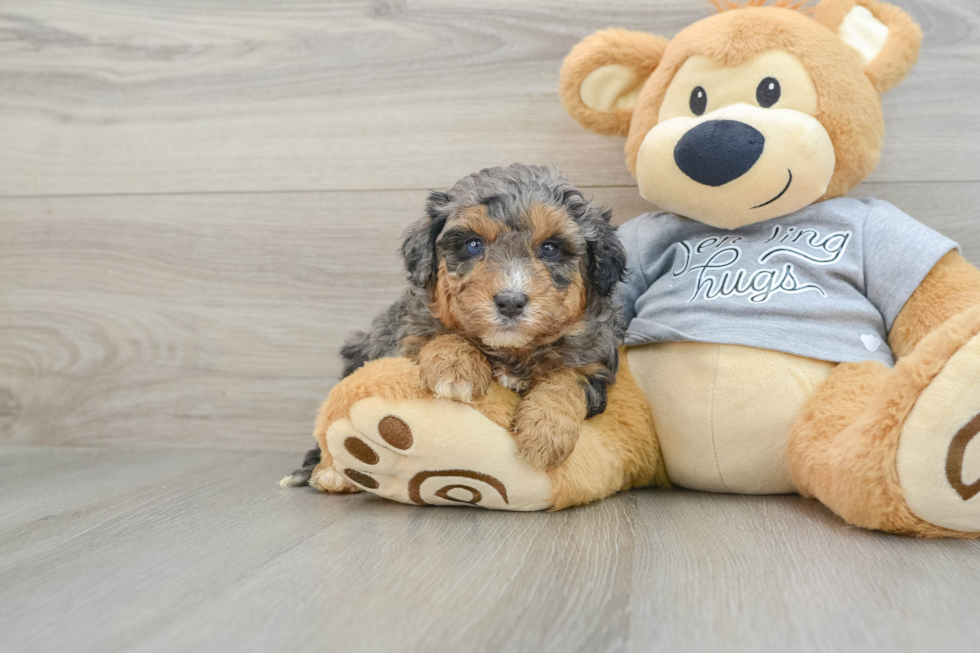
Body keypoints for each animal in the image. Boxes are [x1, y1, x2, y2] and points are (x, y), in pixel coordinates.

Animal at [282, 164, 628, 484]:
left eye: (550, 248)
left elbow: (568, 379)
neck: (511, 351)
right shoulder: (406, 337)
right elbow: (442, 335)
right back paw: (327, 473)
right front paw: (456, 369)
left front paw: (545, 434)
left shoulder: (595, 361)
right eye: (473, 245)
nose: (511, 302)